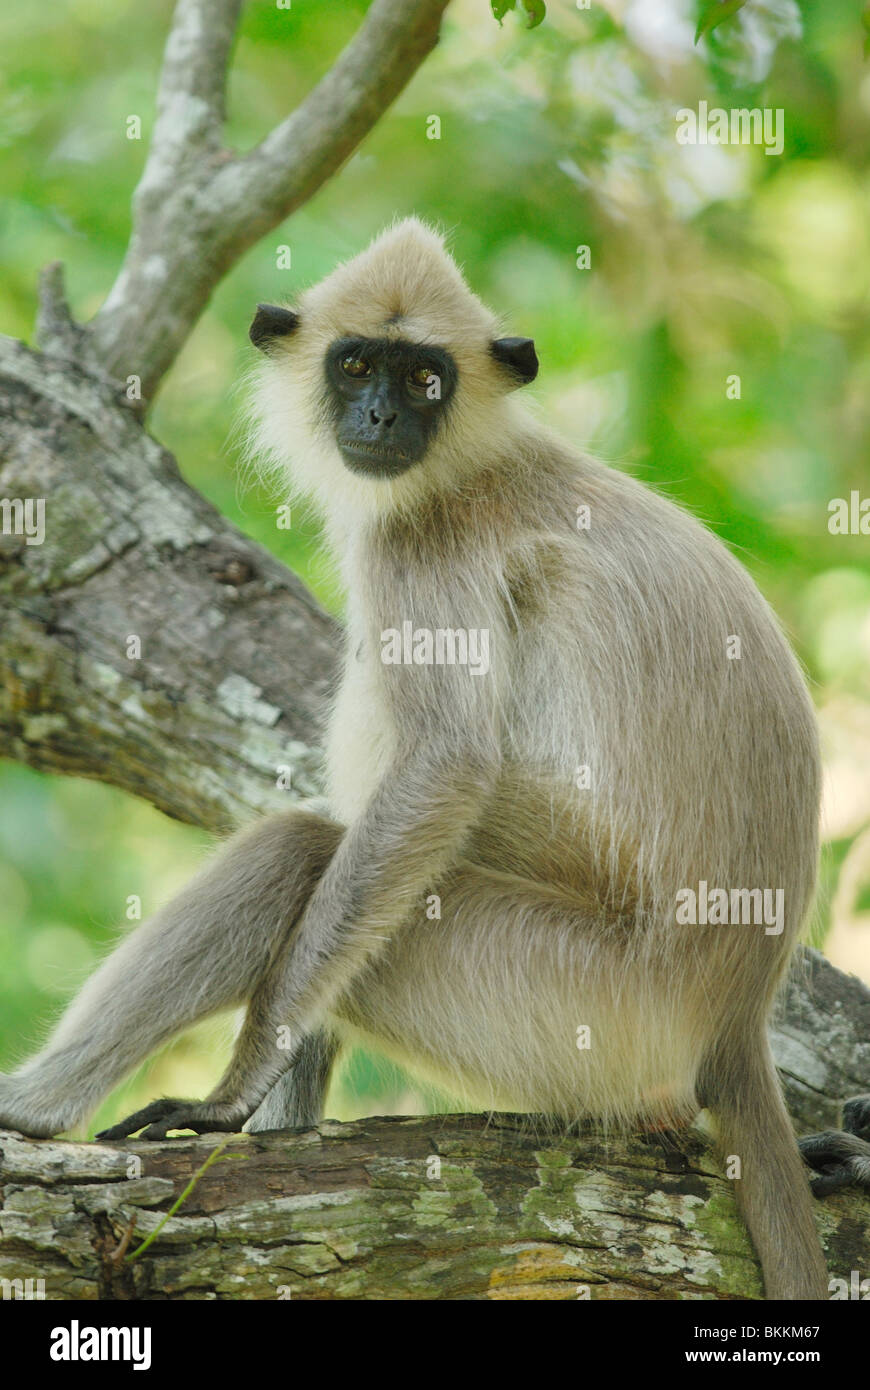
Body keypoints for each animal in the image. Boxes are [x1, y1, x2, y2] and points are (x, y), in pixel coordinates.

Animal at [1, 219, 867, 1301]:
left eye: (424, 380)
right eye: (357, 366)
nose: (377, 413)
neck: (468, 464)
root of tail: (737, 1010)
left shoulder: (425, 545)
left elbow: (445, 767)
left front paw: (227, 1101)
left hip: (577, 999)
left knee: (305, 845)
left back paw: (32, 1111)